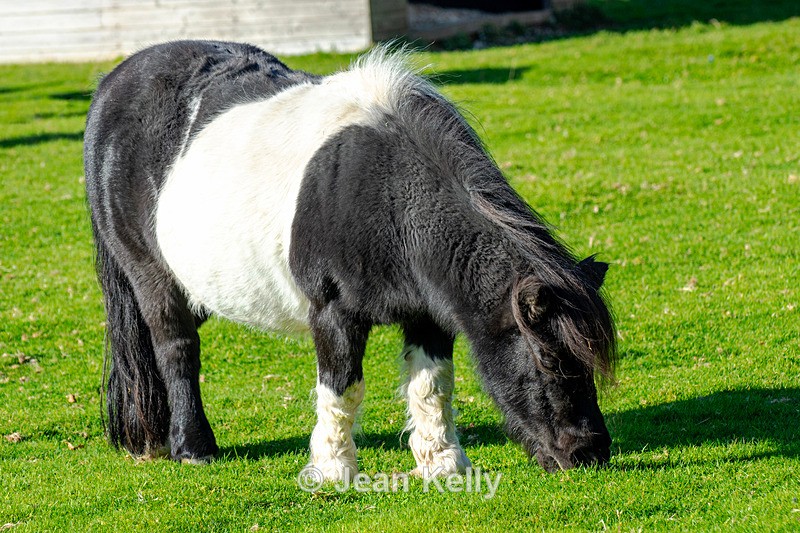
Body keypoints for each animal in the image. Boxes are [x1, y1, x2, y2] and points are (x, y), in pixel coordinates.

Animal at [83, 40, 616, 480]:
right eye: (547, 358)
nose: (589, 453)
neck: (389, 196)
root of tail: (110, 86)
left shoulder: (428, 315)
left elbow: (432, 386)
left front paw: (442, 464)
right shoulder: (333, 314)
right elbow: (342, 389)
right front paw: (332, 470)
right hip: (153, 277)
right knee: (176, 349)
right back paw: (193, 447)